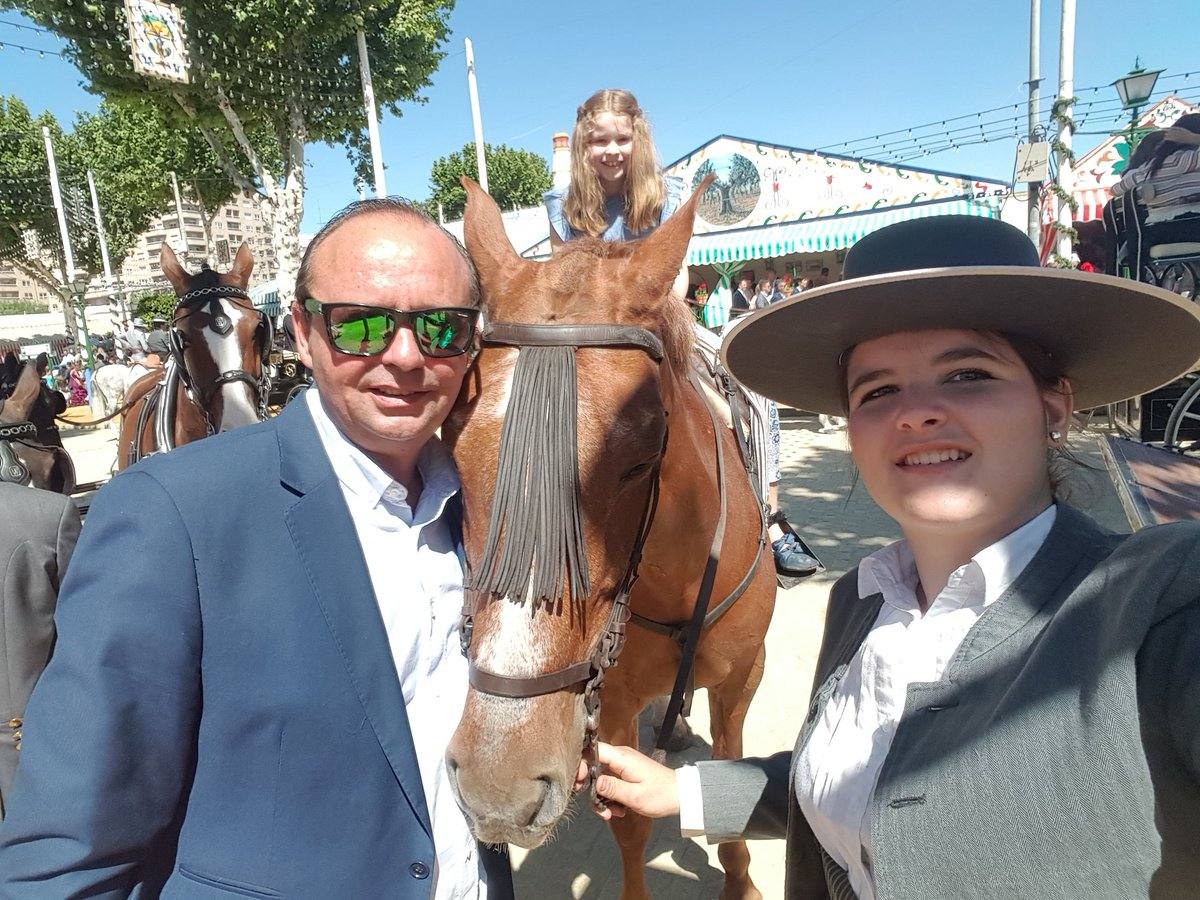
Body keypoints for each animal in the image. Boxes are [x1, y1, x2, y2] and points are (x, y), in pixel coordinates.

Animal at [446, 180, 772, 897]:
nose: (498, 783)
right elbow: (630, 824)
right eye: (451, 449)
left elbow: (732, 773)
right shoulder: (614, 707)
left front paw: (740, 880)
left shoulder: (743, 679)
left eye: (640, 458)